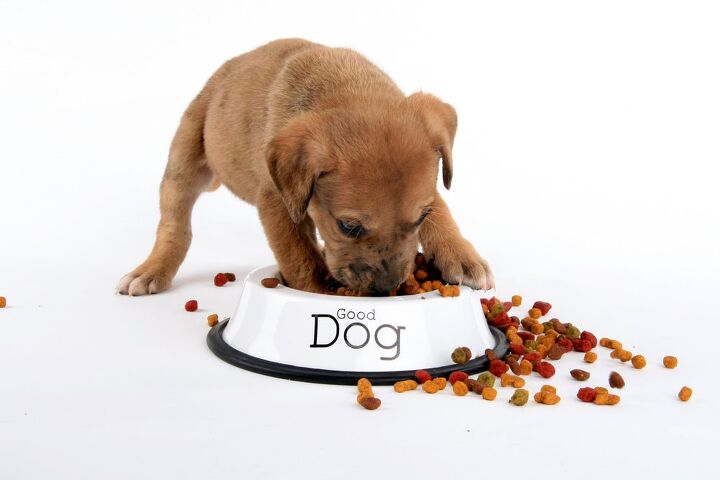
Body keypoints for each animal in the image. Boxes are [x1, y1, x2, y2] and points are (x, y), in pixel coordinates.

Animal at [115, 38, 492, 296]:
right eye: (348, 227)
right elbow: (300, 257)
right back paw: (150, 271)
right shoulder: (277, 203)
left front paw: (461, 256)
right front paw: (321, 292)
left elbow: (442, 210)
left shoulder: (430, 188)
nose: (386, 288)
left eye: (419, 219)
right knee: (175, 224)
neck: (348, 89)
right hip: (184, 160)